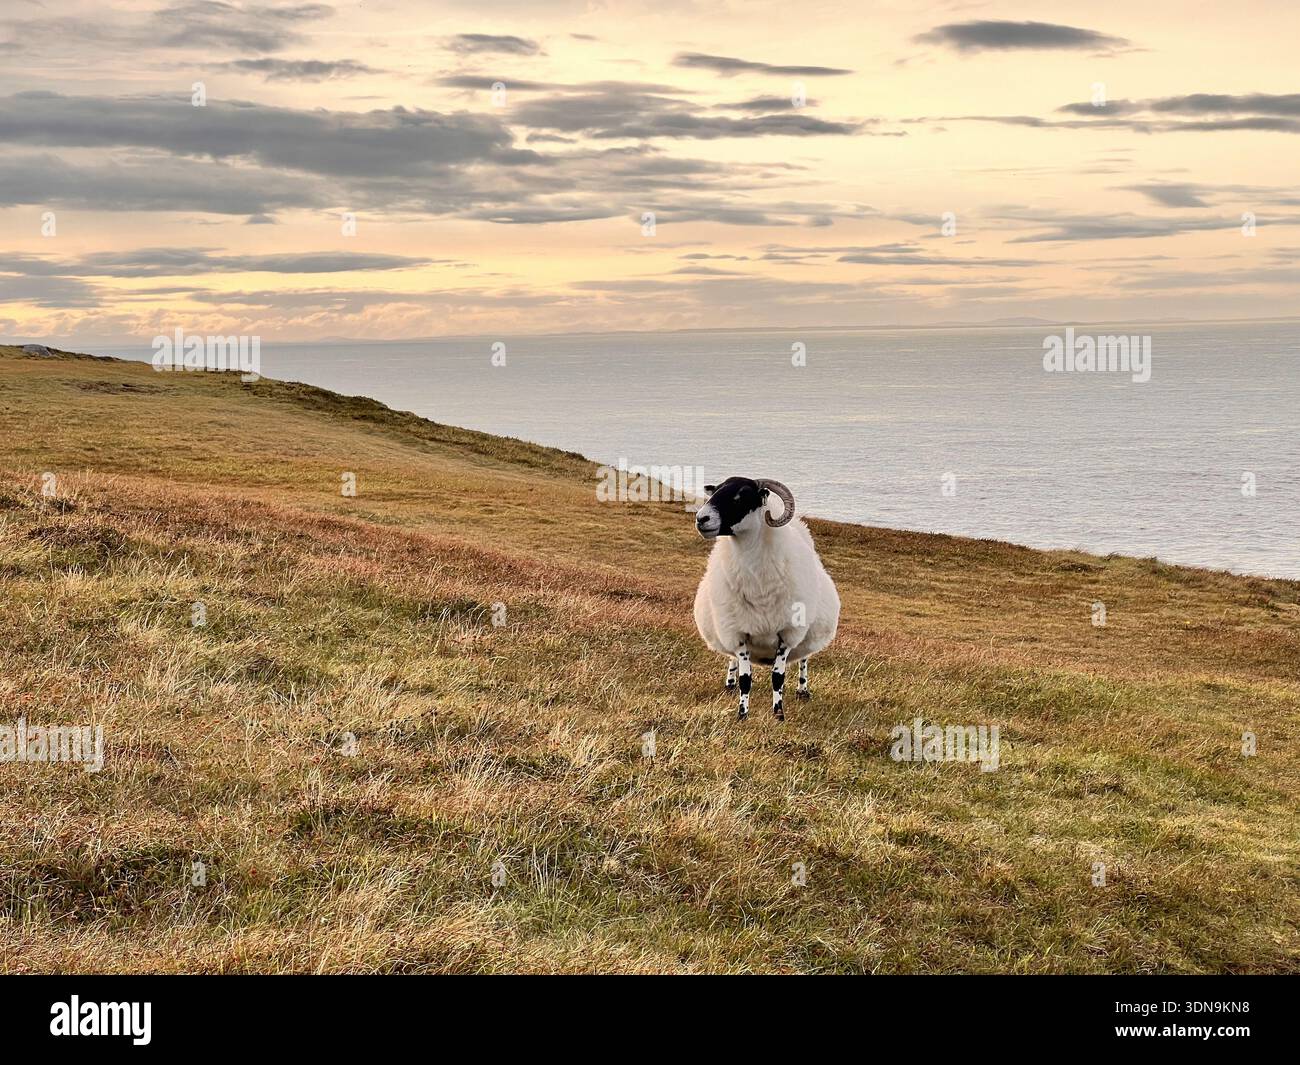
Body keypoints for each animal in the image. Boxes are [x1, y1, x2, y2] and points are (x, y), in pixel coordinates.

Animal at [692, 477, 839, 720]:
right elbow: (746, 679)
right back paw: (730, 683)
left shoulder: (787, 634)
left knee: (803, 660)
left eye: (742, 495)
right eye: (715, 492)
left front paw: (778, 714)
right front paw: (742, 714)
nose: (701, 518)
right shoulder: (738, 634)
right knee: (733, 661)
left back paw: (802, 690)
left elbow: (777, 677)